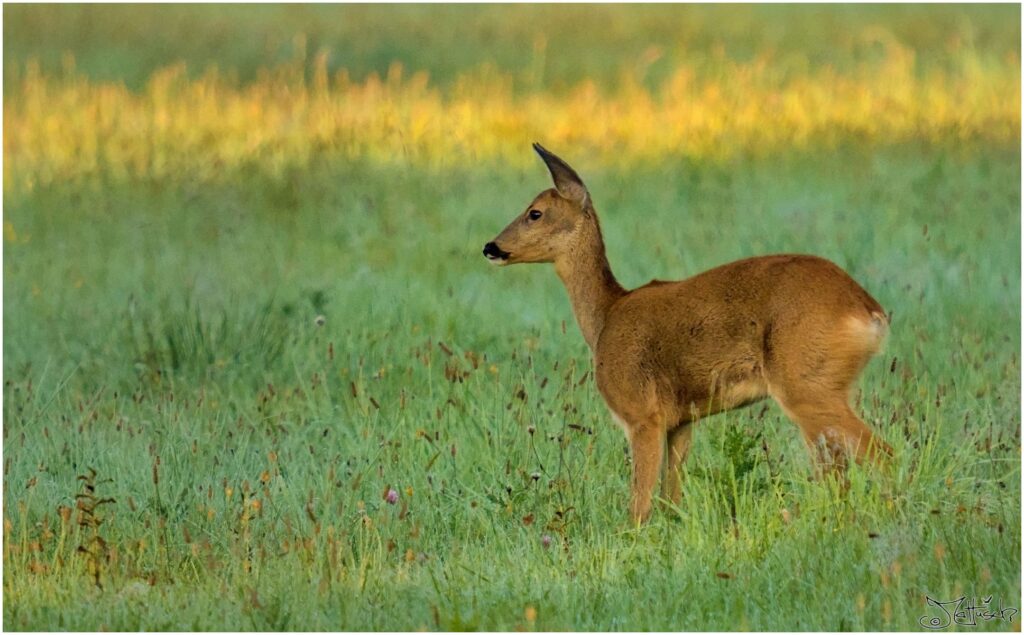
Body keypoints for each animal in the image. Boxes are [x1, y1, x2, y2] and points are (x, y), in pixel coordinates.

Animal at [483, 145, 892, 524]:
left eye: (535, 212)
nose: (491, 247)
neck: (606, 315)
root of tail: (868, 309)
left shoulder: (642, 414)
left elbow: (640, 506)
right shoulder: (681, 422)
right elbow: (671, 498)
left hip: (806, 385)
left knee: (880, 455)